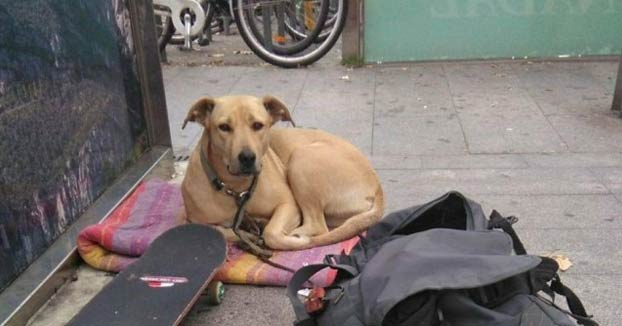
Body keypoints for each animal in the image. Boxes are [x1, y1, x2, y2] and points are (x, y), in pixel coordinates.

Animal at [182, 94, 386, 250]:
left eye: (258, 125)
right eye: (224, 127)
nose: (247, 157)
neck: (236, 188)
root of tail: (377, 187)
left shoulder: (289, 205)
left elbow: (271, 233)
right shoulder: (191, 220)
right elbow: (219, 231)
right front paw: (248, 232)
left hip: (301, 158)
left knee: (318, 227)